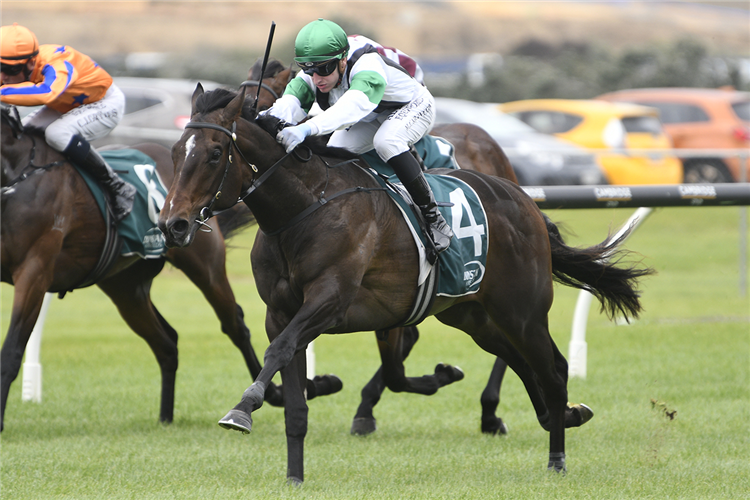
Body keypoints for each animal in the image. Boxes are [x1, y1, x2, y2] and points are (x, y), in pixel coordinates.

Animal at [0, 102, 338, 434]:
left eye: (215, 155)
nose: (171, 223)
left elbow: (12, 350)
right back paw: (165, 418)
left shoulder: (34, 271)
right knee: (166, 341)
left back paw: (276, 394)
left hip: (203, 266)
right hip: (126, 287)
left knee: (234, 325)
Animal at [162, 88, 656, 482]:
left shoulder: (329, 302)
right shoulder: (281, 313)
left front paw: (243, 407)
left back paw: (556, 457)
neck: (304, 207)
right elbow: (295, 395)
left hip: (522, 312)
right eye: (175, 152)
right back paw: (555, 414)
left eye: (213, 154)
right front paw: (294, 476)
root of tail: (525, 200)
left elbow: (280, 351)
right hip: (471, 315)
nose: (173, 223)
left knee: (551, 370)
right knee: (520, 361)